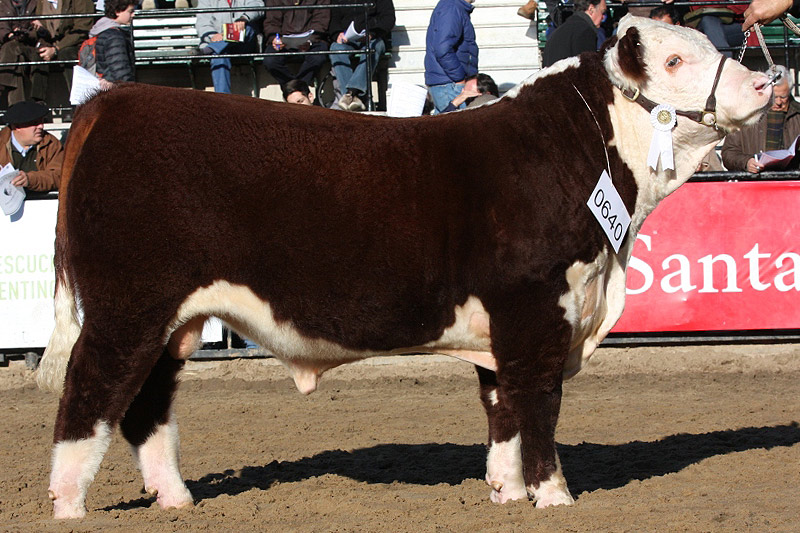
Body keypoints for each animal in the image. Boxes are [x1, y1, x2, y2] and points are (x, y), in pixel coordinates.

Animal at [36, 17, 768, 520]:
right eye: (675, 59)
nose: (767, 80)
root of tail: (112, 103)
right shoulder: (535, 308)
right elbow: (537, 405)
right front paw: (555, 496)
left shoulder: (506, 324)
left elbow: (501, 407)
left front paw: (506, 492)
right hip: (128, 306)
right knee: (91, 394)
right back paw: (69, 505)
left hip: (173, 321)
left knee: (146, 405)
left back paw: (176, 499)